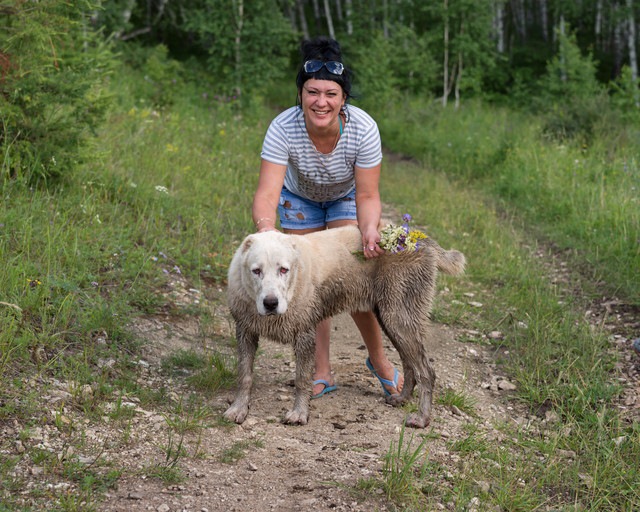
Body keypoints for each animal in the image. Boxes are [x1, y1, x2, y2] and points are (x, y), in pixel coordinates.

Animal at [224, 225, 464, 428]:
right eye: (256, 271)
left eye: (284, 269)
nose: (271, 303)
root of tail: (418, 238)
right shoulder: (245, 332)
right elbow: (244, 375)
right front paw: (238, 409)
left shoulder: (304, 335)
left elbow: (302, 379)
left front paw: (299, 414)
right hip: (392, 320)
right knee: (409, 364)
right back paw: (402, 398)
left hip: (399, 318)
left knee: (426, 371)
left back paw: (422, 418)